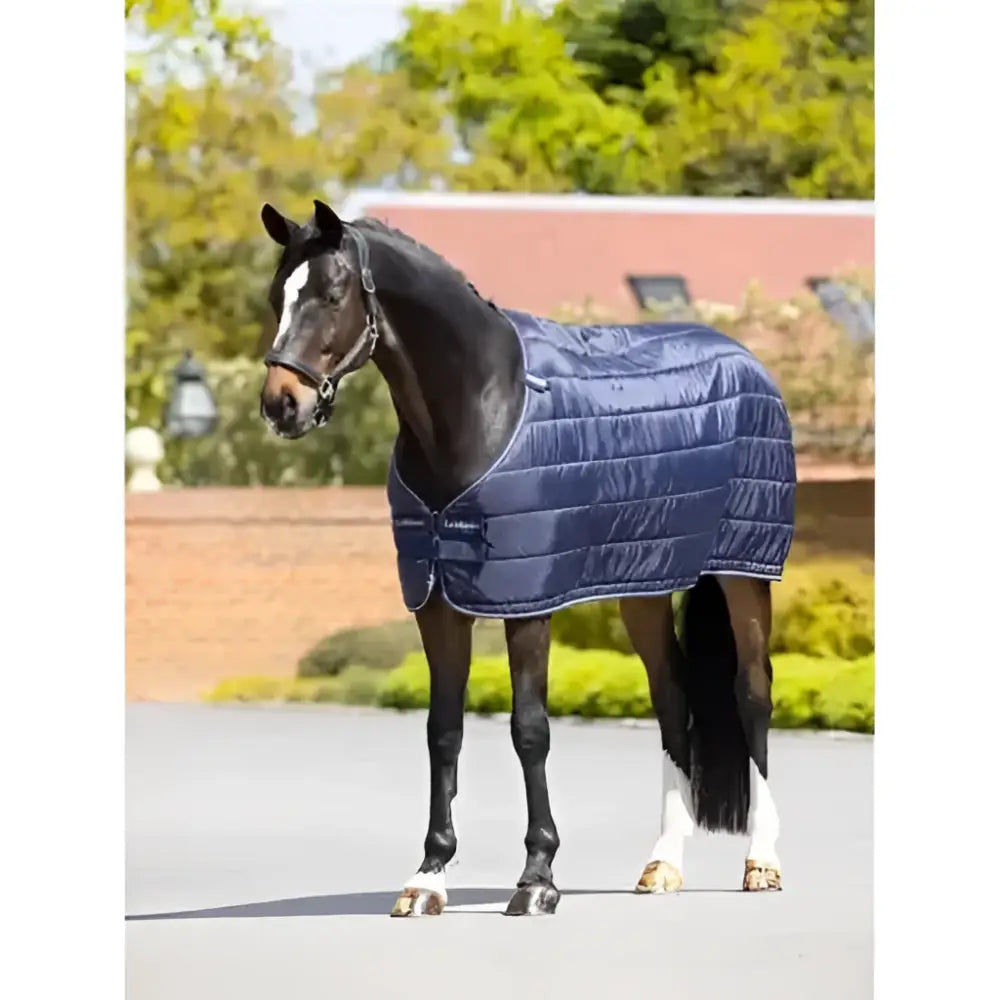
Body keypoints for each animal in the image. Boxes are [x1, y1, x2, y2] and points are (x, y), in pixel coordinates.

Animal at [258, 199, 795, 917]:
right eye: (276, 296)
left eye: (332, 294)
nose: (280, 404)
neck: (484, 406)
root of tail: (745, 359)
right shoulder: (437, 600)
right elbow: (443, 731)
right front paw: (428, 878)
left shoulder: (527, 601)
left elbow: (530, 730)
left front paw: (537, 877)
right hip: (644, 584)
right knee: (673, 698)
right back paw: (662, 865)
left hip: (744, 572)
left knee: (752, 694)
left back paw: (761, 862)